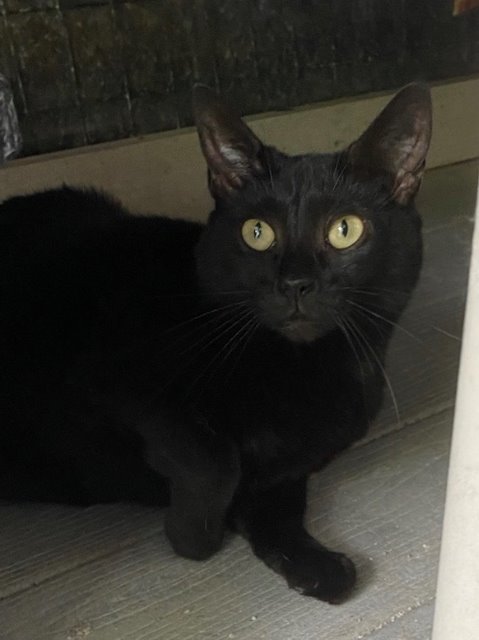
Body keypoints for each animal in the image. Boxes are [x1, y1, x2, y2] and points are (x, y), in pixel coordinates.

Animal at [0, 84, 434, 600]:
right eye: (257, 233)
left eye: (344, 230)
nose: (295, 283)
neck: (305, 372)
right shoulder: (110, 376)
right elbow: (214, 461)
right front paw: (191, 535)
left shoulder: (286, 468)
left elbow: (280, 509)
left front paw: (314, 563)